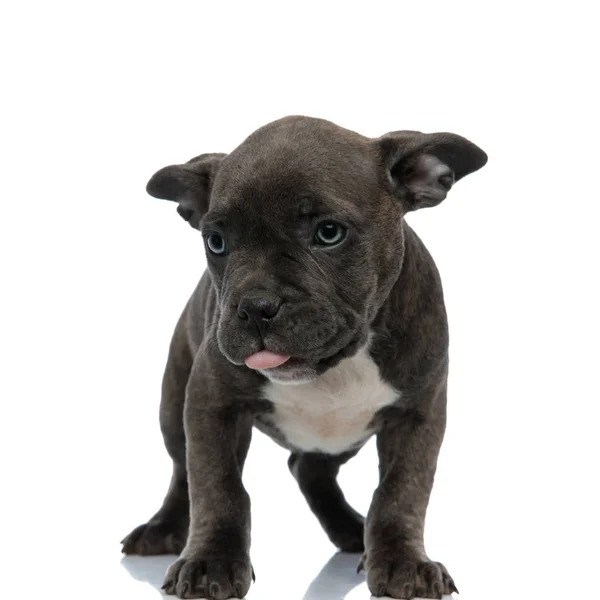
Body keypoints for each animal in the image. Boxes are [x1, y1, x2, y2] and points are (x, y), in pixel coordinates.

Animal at [120, 115, 488, 596]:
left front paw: (403, 562)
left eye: (329, 233)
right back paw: (162, 529)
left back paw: (351, 529)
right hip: (172, 402)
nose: (255, 306)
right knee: (184, 471)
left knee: (308, 468)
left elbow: (401, 491)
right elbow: (218, 486)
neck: (334, 367)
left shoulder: (418, 413)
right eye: (216, 242)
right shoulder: (210, 402)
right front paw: (210, 562)